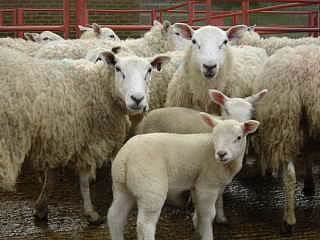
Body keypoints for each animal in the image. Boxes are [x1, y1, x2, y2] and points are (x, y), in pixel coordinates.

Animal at [0, 45, 170, 225]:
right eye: (118, 69)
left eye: (149, 70)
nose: (137, 99)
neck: (98, 87)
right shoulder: (85, 140)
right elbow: (83, 182)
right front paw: (91, 213)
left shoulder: (56, 138)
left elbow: (51, 178)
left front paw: (41, 208)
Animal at [109, 116, 258, 240]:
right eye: (214, 135)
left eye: (238, 137)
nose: (221, 154)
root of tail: (125, 156)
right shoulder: (207, 185)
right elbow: (208, 215)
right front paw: (206, 235)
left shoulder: (198, 185)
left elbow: (199, 211)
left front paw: (198, 231)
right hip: (150, 187)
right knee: (145, 225)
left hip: (122, 186)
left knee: (115, 217)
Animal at [252, 44, 320, 232]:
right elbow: (309, 152)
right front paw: (309, 184)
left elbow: (309, 152)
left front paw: (309, 184)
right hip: (285, 121)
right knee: (290, 175)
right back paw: (289, 220)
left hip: (286, 121)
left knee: (289, 175)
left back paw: (288, 221)